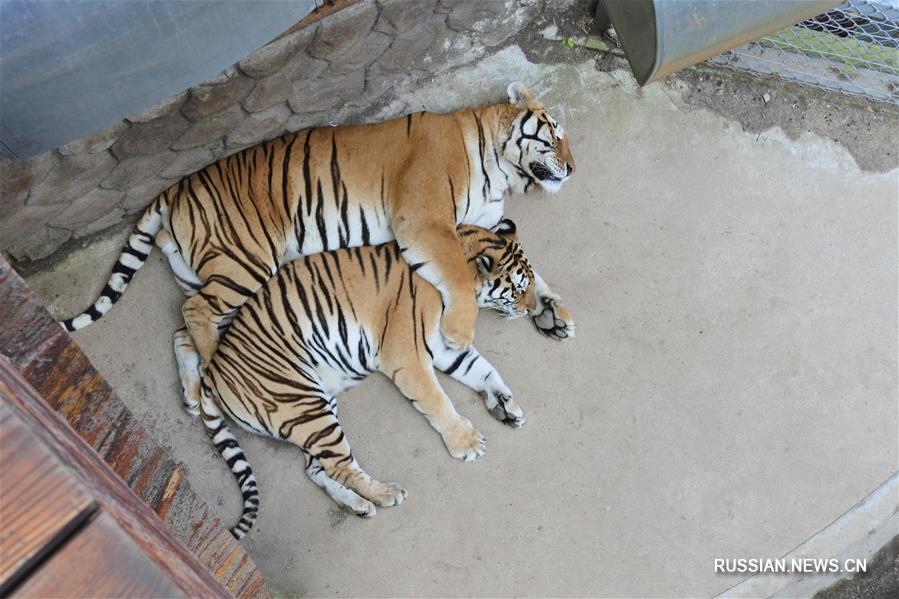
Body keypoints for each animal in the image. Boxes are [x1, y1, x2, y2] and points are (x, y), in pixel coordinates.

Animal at [61, 82, 576, 368]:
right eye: (553, 137)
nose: (572, 169)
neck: (499, 169)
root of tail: (175, 189)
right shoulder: (425, 221)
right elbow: (459, 277)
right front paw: (461, 333)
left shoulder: (482, 224)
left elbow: (525, 265)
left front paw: (552, 312)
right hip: (245, 261)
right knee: (196, 312)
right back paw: (212, 374)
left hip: (208, 272)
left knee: (187, 320)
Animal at [189, 220, 536, 540]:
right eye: (519, 290)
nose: (532, 310)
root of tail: (212, 373)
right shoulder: (407, 355)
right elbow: (438, 402)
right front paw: (466, 443)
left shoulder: (442, 347)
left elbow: (483, 370)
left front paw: (506, 405)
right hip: (305, 406)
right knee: (340, 466)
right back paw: (386, 494)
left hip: (314, 407)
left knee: (317, 468)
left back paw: (357, 506)